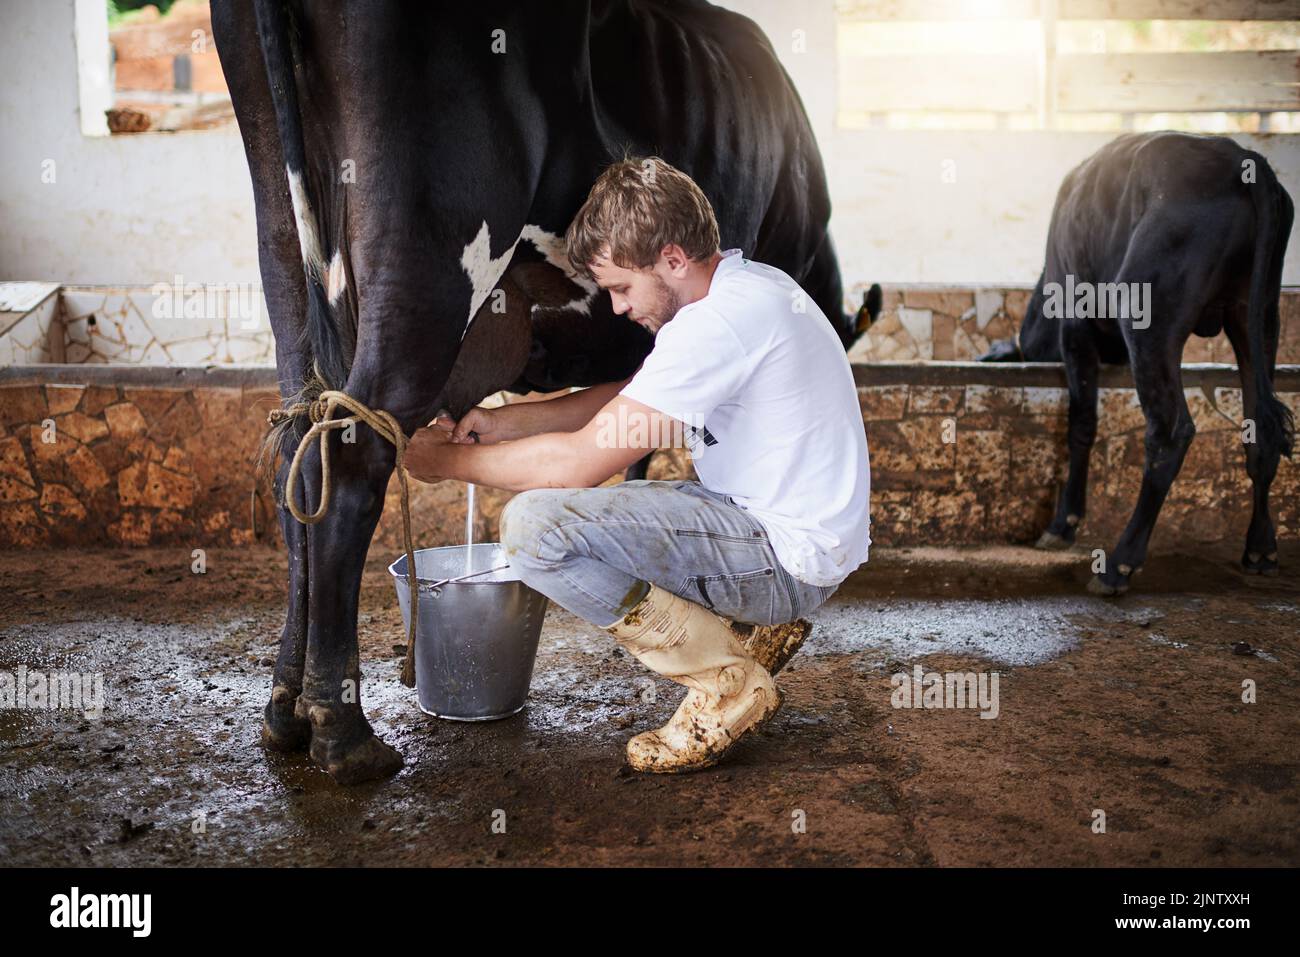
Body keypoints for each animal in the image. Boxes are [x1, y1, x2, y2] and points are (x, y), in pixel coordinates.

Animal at [213, 0, 878, 780]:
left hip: (284, 252)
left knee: (298, 449)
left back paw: (284, 708)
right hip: (427, 253)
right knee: (350, 456)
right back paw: (343, 731)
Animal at [977, 130, 1294, 595]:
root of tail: (1239, 158)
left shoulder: (1074, 323)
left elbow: (1081, 424)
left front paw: (1064, 522)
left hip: (1148, 318)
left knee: (1170, 433)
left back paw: (1118, 564)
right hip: (1259, 314)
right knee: (1260, 431)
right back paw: (1261, 549)